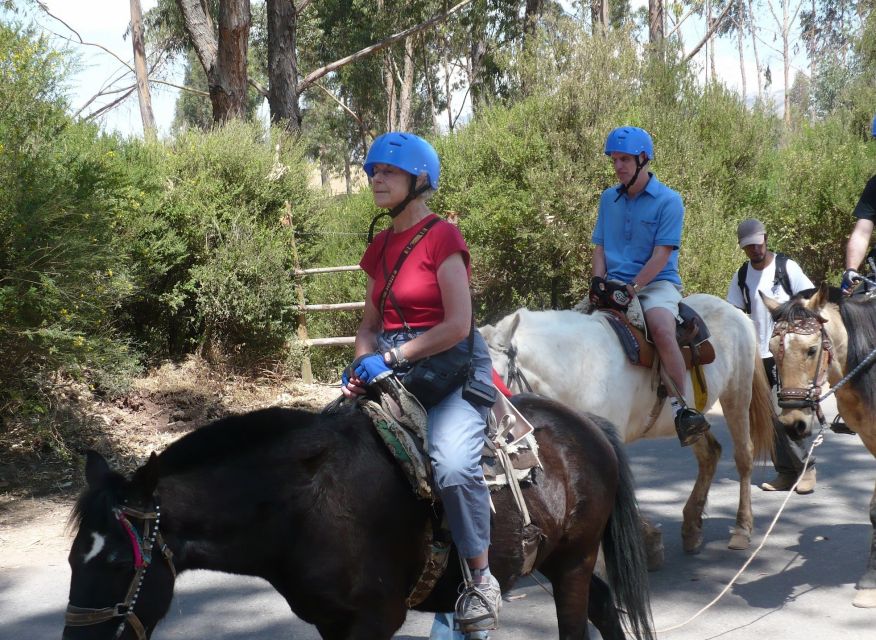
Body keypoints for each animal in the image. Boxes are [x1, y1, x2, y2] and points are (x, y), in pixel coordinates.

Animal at [61, 396, 652, 640]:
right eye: (72, 561)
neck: (304, 508)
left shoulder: (374, 621)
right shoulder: (331, 623)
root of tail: (587, 425)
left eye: (118, 565)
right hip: (557, 562)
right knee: (604, 608)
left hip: (574, 560)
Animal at [480, 292, 772, 552]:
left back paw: (742, 528)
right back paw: (691, 526)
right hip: (695, 421)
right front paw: (649, 537)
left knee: (743, 456)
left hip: (737, 395)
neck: (579, 364)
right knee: (709, 453)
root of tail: (738, 313)